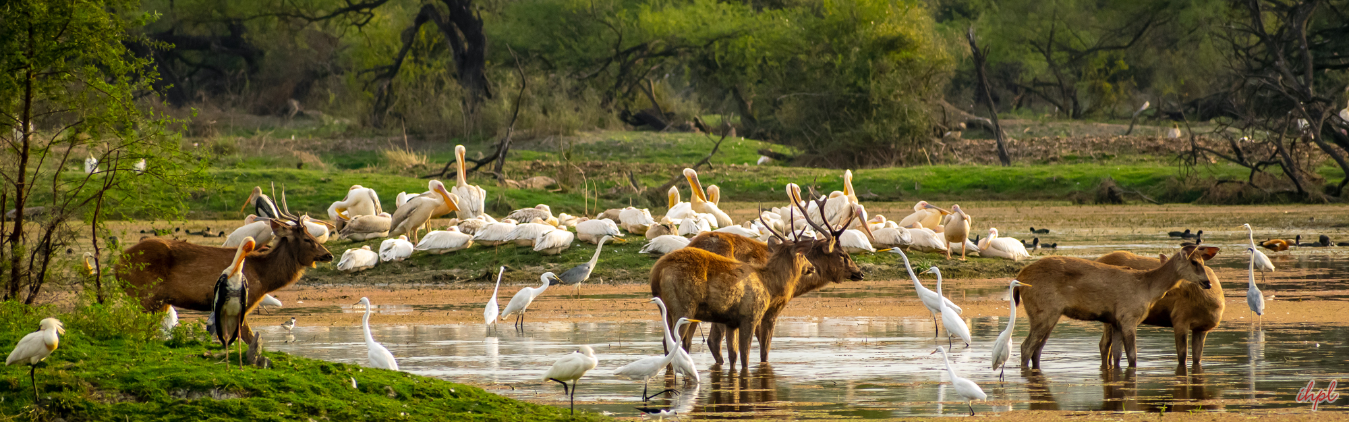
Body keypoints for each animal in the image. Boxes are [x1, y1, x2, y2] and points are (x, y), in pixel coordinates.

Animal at [118, 215, 334, 339]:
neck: (264, 276)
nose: (329, 255)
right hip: (145, 294)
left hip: (159, 301)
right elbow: (246, 335)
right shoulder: (244, 299)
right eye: (307, 239)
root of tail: (116, 265)